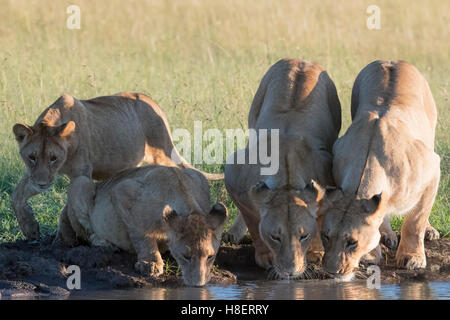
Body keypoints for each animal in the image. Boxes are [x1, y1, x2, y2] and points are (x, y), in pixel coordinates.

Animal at [10, 91, 221, 241]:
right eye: (32, 157)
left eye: (53, 158)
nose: (42, 185)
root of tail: (153, 102)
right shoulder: (37, 174)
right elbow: (17, 195)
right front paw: (30, 228)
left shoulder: (80, 173)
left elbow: (72, 205)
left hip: (162, 152)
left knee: (181, 171)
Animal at [65, 164, 227, 286]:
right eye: (186, 256)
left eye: (210, 256)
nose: (198, 284)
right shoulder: (122, 191)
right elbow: (141, 234)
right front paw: (151, 263)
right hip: (80, 184)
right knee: (87, 233)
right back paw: (105, 243)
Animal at [223, 58, 342, 278]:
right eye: (275, 237)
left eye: (303, 236)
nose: (290, 272)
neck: (286, 180)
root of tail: (302, 60)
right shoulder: (234, 175)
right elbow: (253, 221)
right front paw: (265, 256)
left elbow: (321, 220)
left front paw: (316, 254)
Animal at [322, 60, 442, 280]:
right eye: (326, 236)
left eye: (352, 242)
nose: (332, 272)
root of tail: (393, 61)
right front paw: (371, 254)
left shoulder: (433, 169)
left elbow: (416, 220)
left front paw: (412, 258)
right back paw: (387, 235)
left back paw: (429, 231)